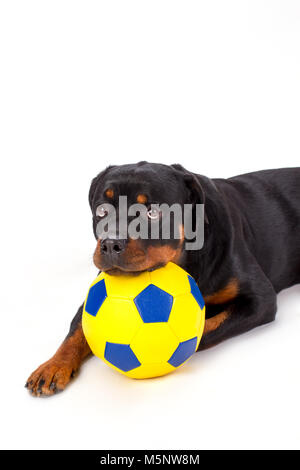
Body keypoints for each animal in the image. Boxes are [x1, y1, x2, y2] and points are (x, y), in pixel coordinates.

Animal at [25, 163, 300, 394]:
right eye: (102, 210)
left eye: (153, 212)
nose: (111, 243)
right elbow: (77, 329)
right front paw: (53, 366)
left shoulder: (260, 299)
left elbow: (206, 330)